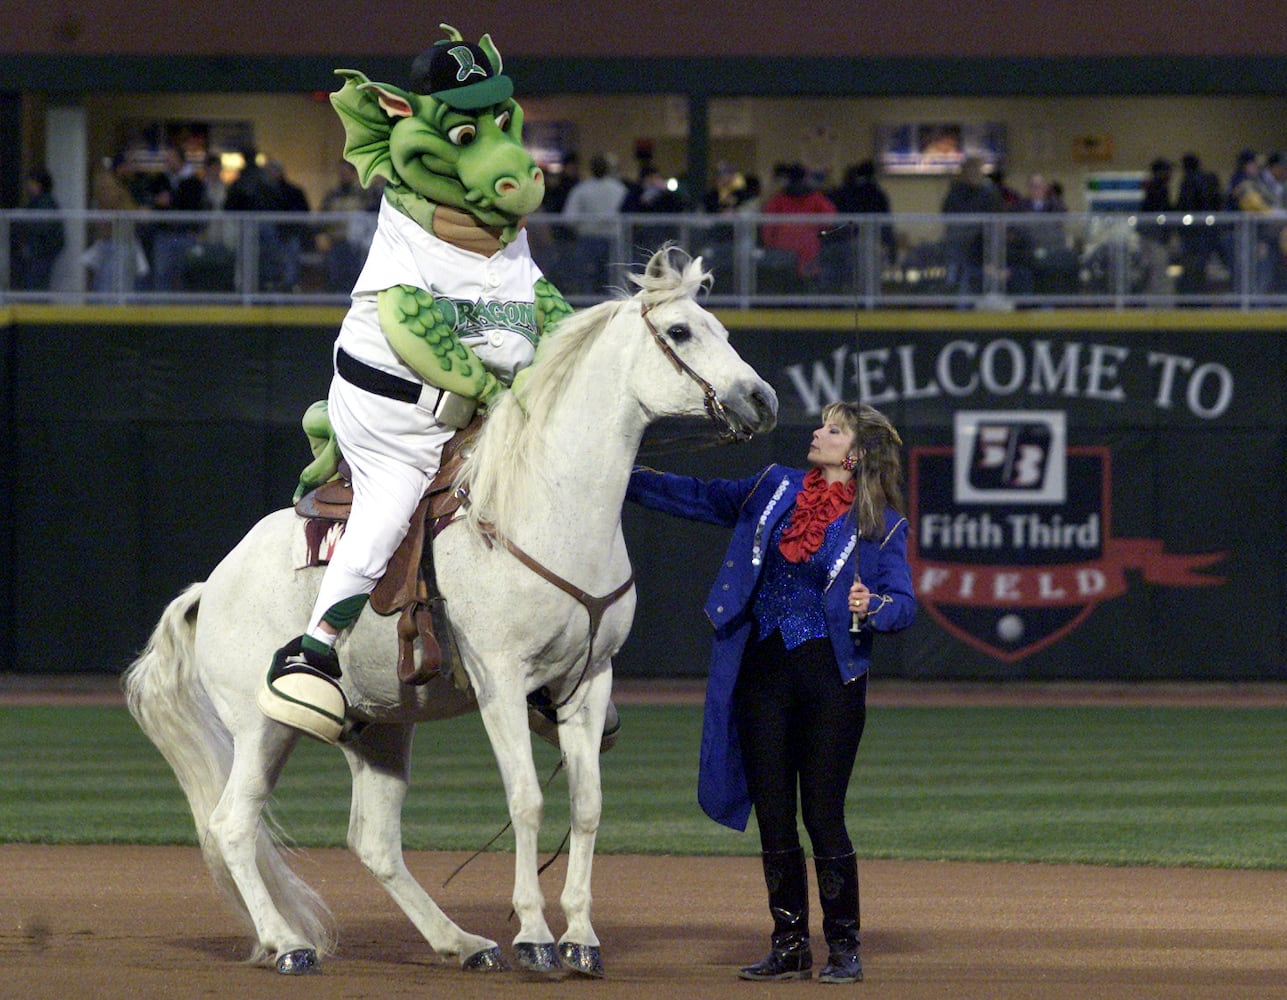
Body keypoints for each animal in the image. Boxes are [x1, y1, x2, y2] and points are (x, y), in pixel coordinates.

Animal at [125, 245, 777, 978]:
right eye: (681, 332)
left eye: (720, 328)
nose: (762, 399)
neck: (551, 507)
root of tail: (210, 585)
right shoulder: (500, 680)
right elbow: (527, 802)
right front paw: (535, 935)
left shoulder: (588, 680)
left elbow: (585, 805)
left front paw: (580, 935)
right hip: (262, 725)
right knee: (232, 825)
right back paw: (288, 943)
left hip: (379, 728)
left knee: (374, 842)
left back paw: (457, 941)